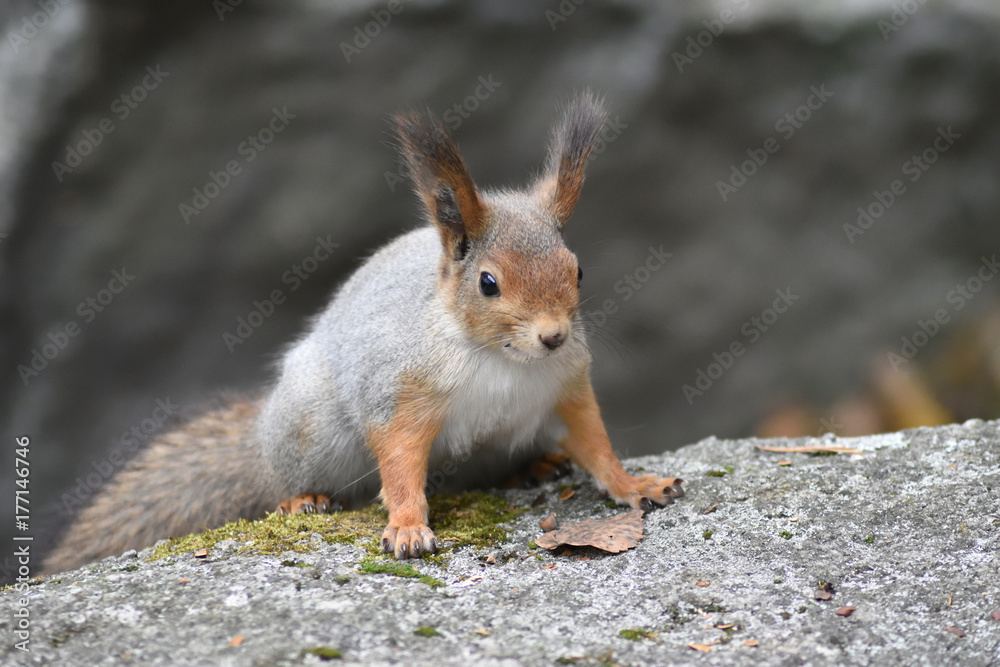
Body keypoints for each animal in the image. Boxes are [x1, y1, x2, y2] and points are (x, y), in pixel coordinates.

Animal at [42, 92, 684, 574]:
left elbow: (595, 442)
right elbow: (398, 459)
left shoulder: (567, 385)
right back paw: (303, 498)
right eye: (488, 283)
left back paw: (533, 467)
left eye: (578, 270)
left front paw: (636, 483)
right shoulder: (398, 389)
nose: (553, 336)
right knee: (286, 478)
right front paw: (407, 527)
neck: (500, 358)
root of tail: (259, 438)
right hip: (311, 431)